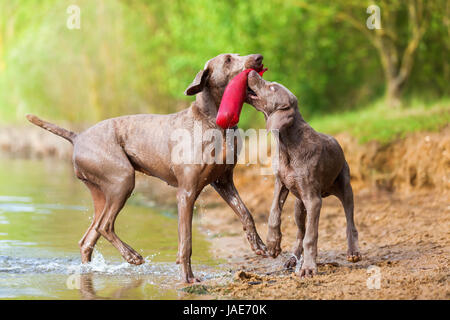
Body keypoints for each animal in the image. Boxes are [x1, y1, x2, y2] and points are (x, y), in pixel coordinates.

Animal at [25, 53, 268, 282]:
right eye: (228, 60)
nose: (258, 57)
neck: (213, 122)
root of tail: (78, 137)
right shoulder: (186, 192)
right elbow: (186, 241)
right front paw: (188, 278)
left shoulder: (223, 181)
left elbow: (246, 213)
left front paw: (259, 245)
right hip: (122, 180)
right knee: (105, 226)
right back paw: (132, 256)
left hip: (102, 192)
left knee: (88, 239)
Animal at [246, 70, 362, 278]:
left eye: (272, 88)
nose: (250, 71)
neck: (288, 144)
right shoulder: (281, 183)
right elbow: (274, 212)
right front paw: (273, 244)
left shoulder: (314, 201)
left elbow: (311, 236)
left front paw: (308, 268)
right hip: (299, 205)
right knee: (300, 232)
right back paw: (293, 259)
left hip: (345, 187)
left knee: (350, 222)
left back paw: (353, 252)